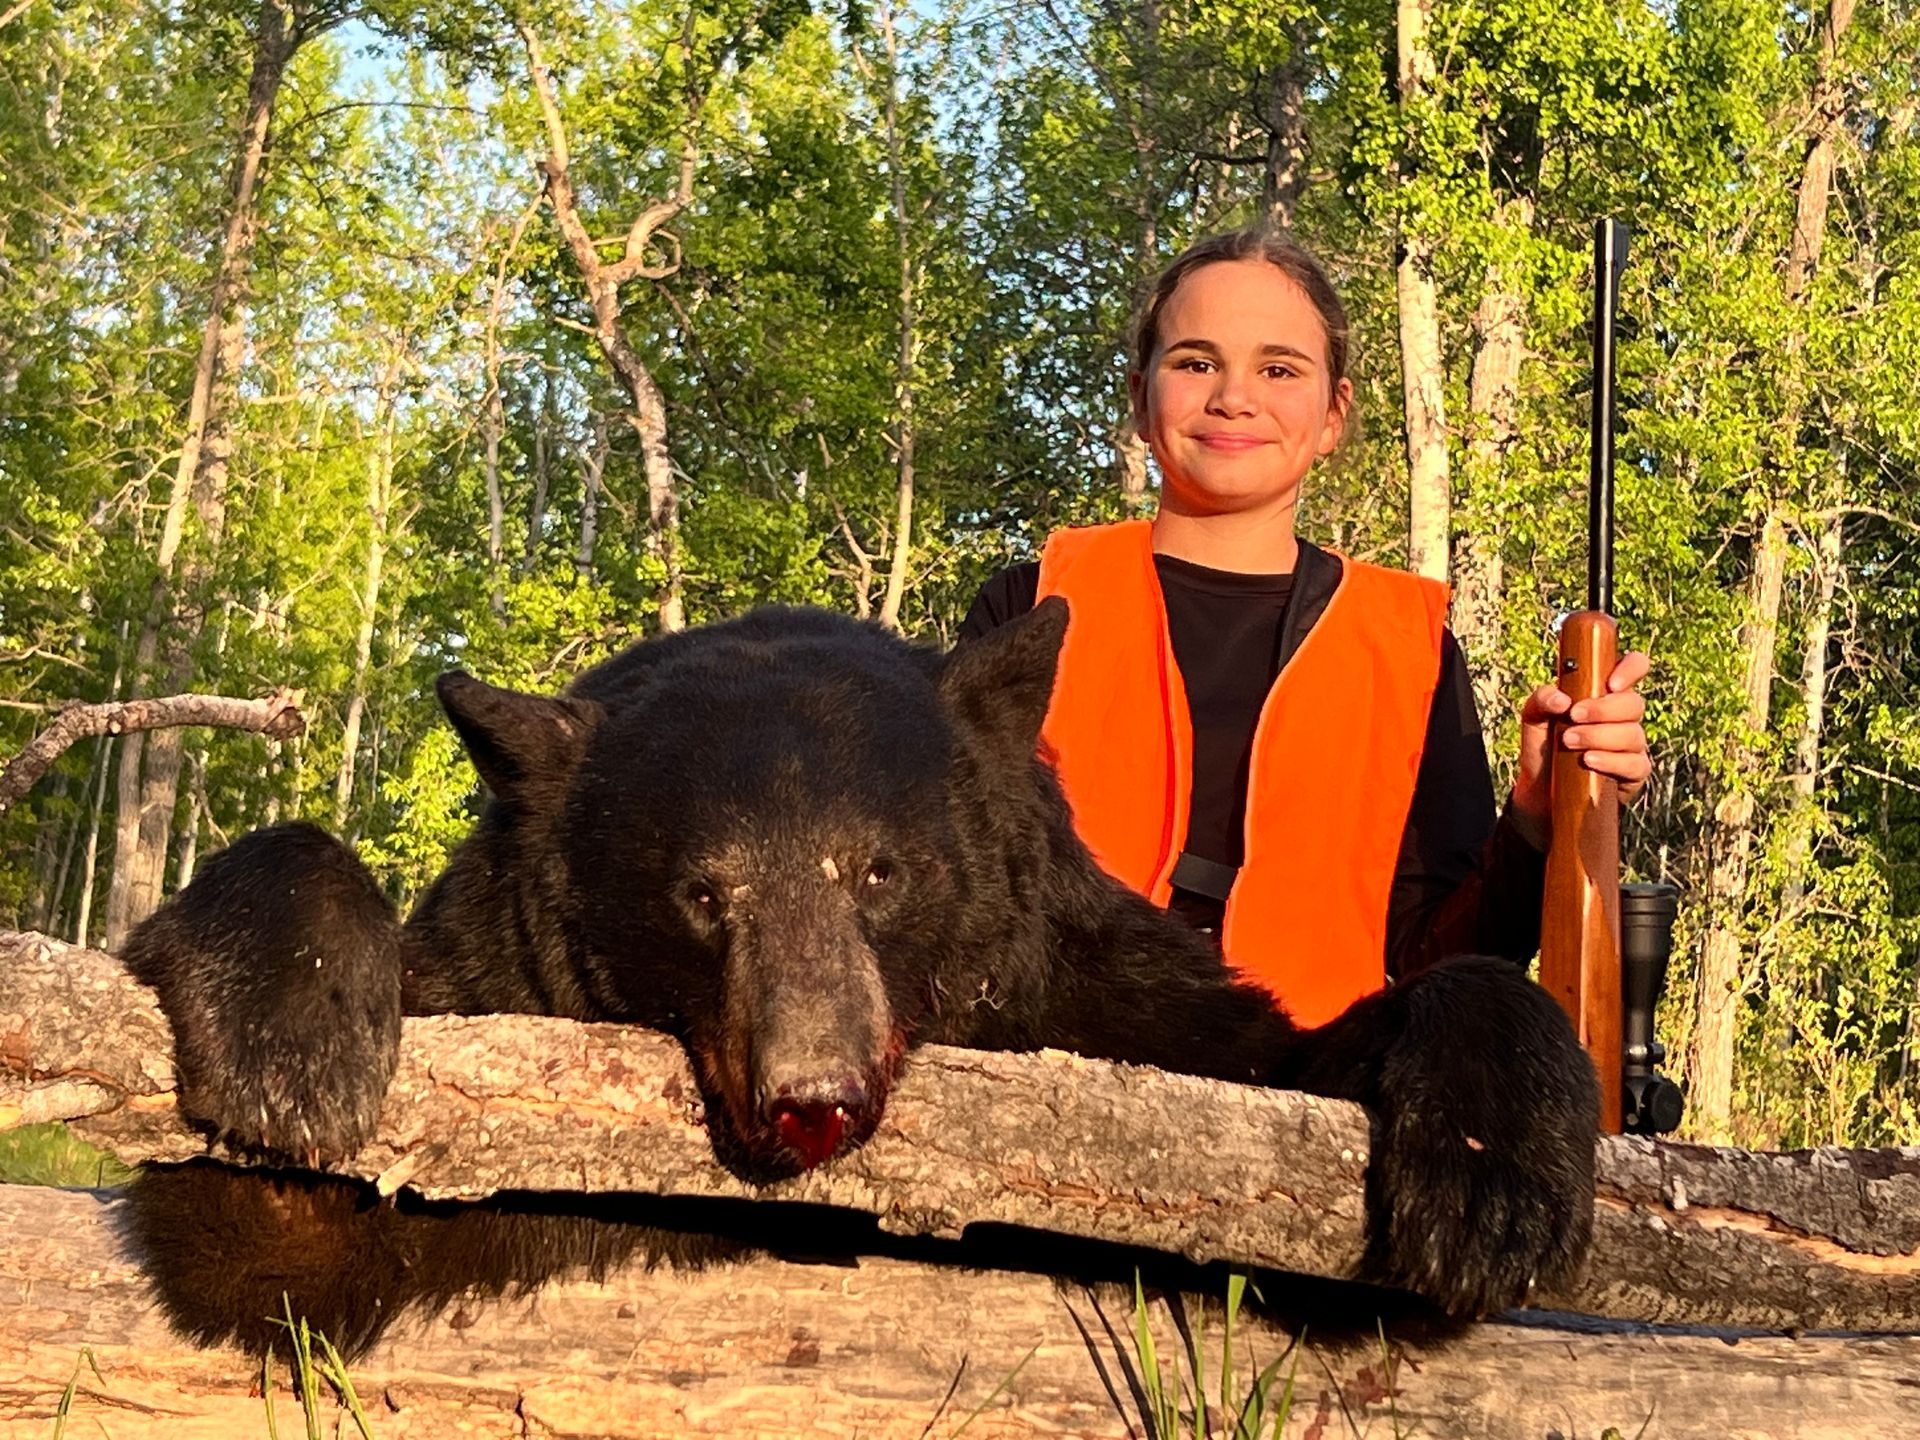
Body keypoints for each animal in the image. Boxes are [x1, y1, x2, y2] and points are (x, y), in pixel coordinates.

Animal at [119, 599, 1597, 1357]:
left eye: (877, 871)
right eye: (702, 892)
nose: (811, 1094)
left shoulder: (1098, 995)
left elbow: (1286, 1125)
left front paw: (1491, 1182)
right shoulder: (498, 998)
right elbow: (280, 1242)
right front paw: (292, 1034)